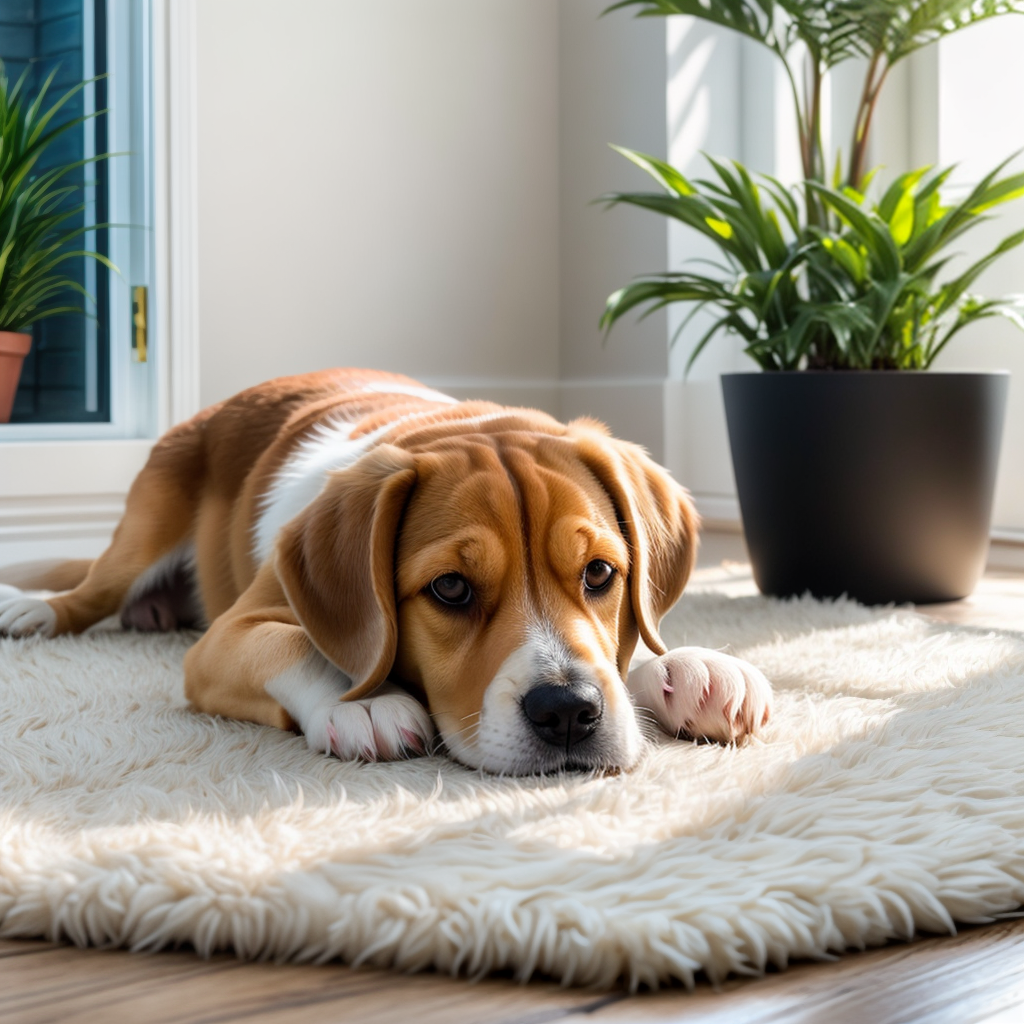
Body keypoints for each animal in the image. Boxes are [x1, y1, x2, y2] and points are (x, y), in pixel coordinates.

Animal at [0, 368, 770, 770]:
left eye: (601, 575)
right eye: (450, 588)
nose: (568, 713)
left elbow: (638, 648)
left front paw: (691, 667)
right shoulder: (225, 638)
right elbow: (297, 643)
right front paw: (361, 701)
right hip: (143, 529)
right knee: (90, 590)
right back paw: (33, 607)